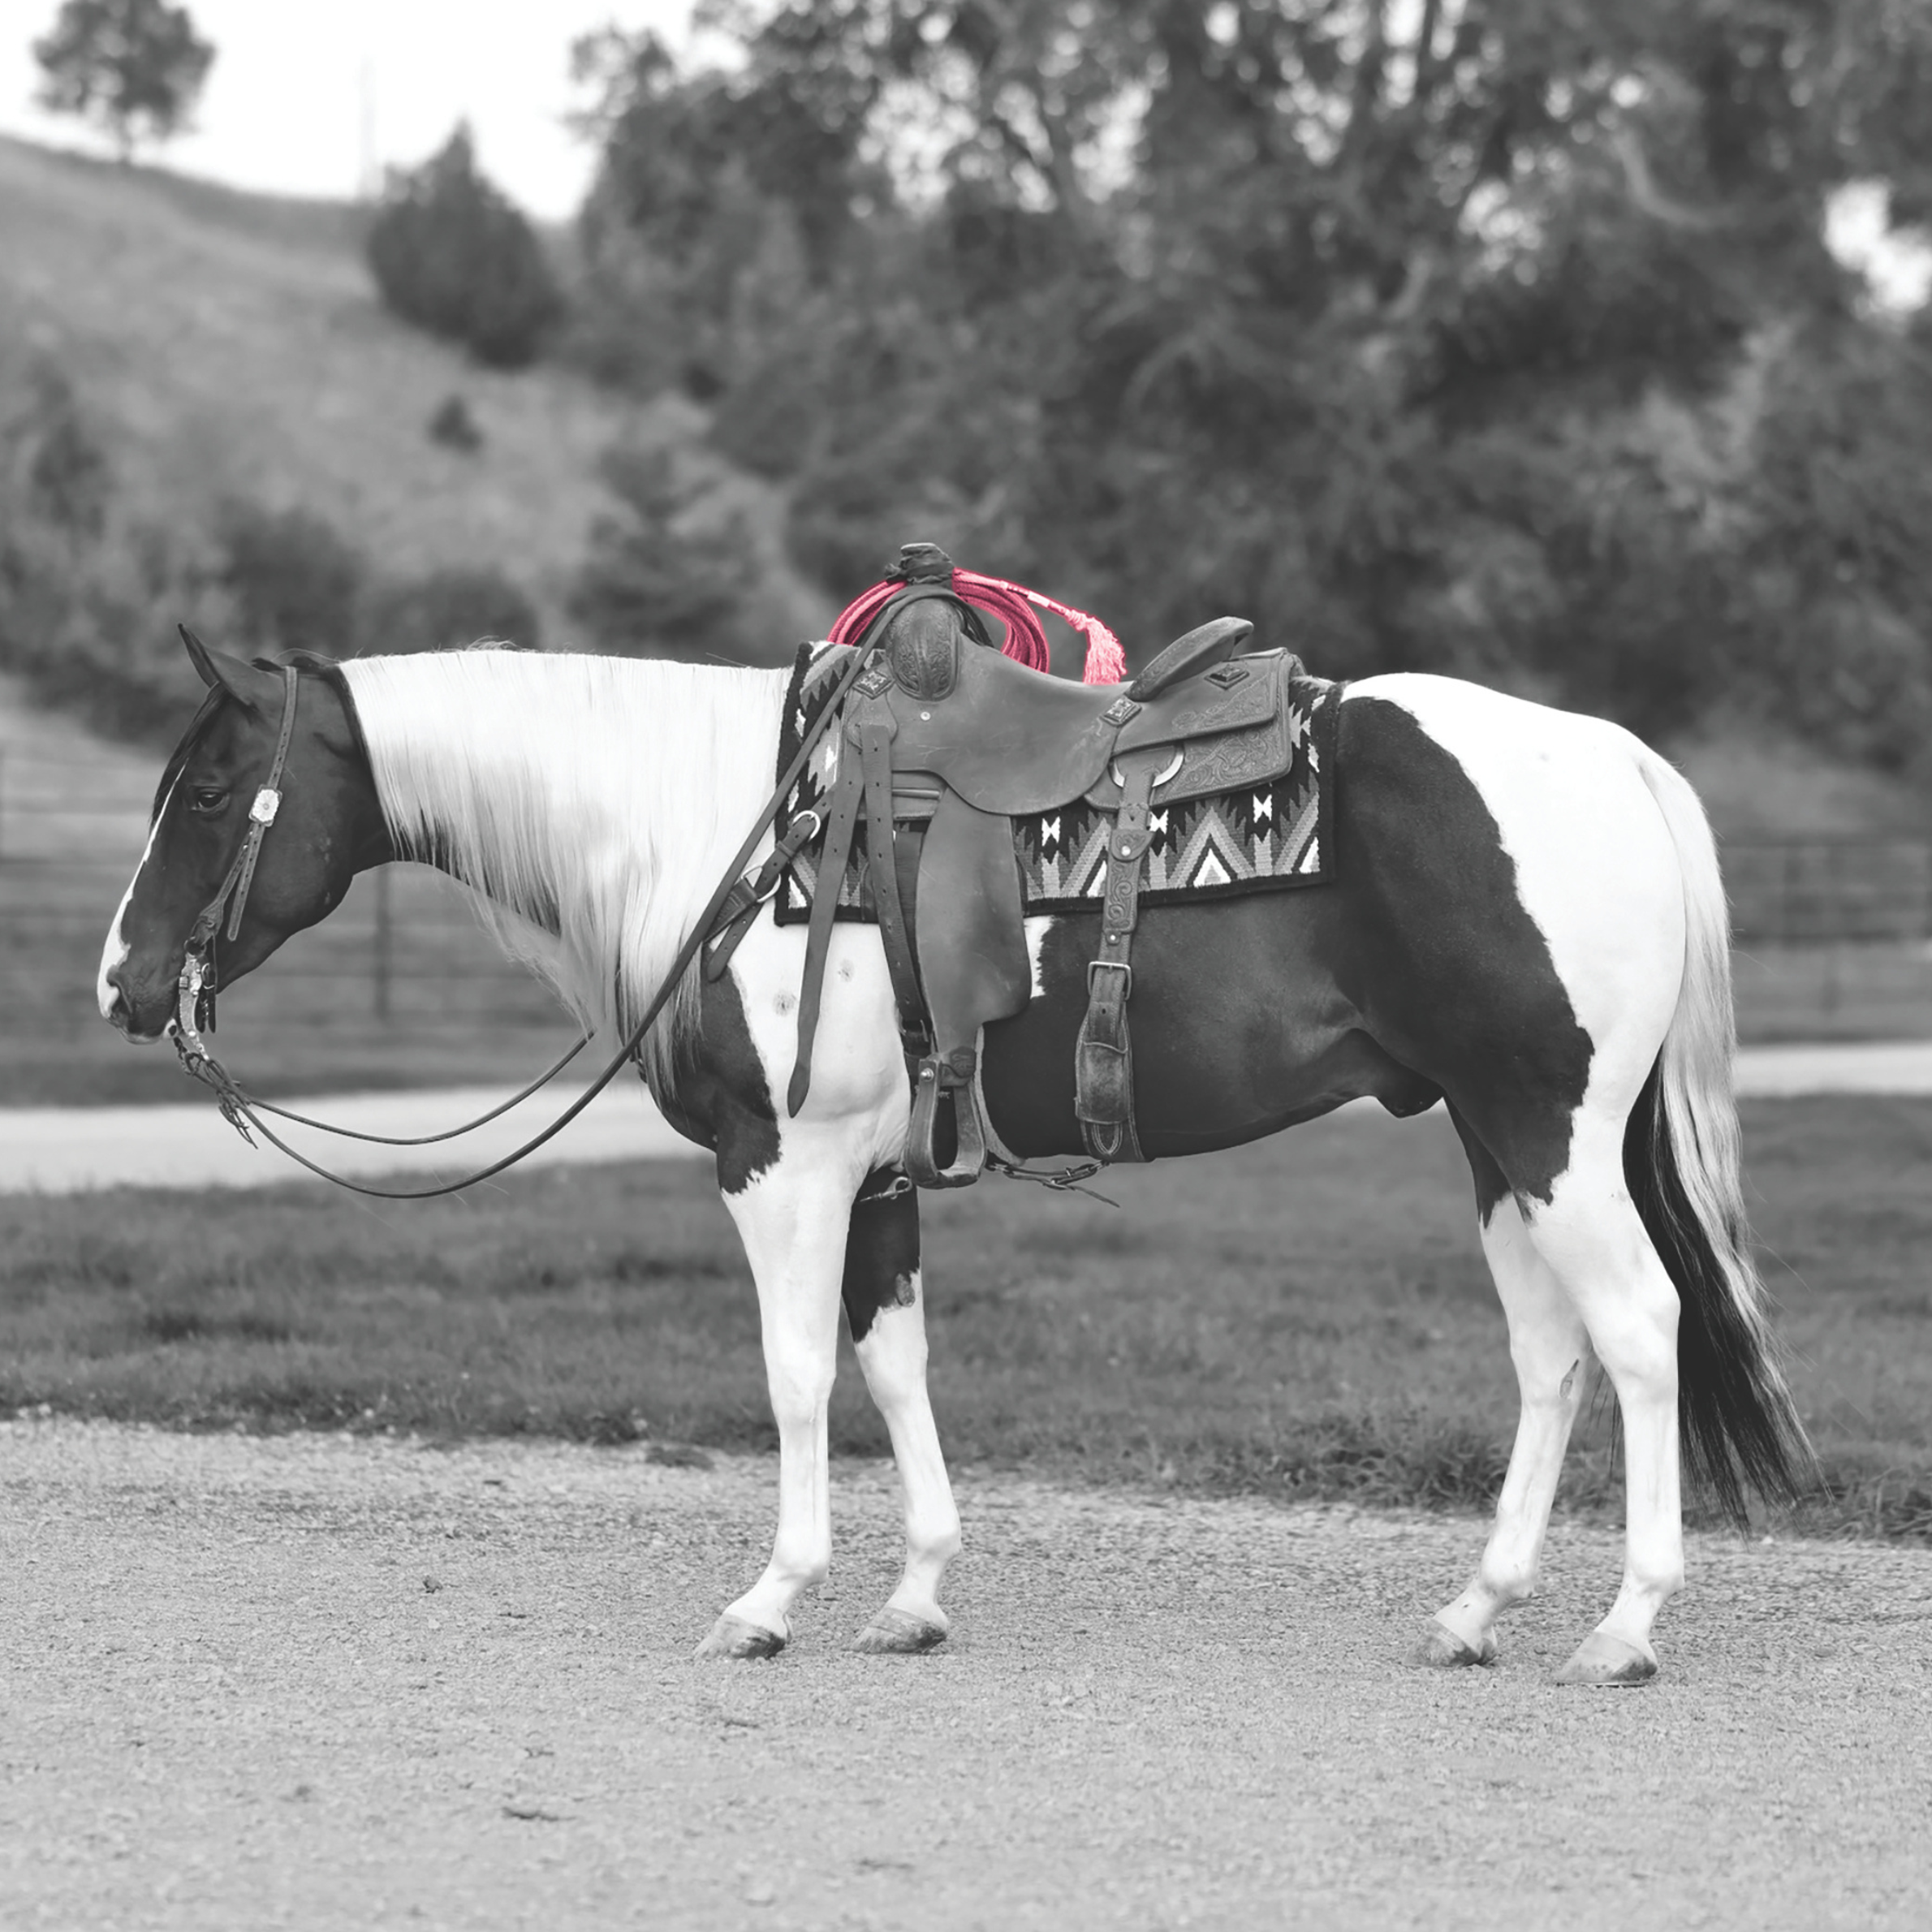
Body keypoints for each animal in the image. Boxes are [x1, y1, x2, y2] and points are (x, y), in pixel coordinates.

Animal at [97, 621, 1812, 1683]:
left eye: (207, 788)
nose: (120, 984)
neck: (730, 836)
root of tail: (1618, 761)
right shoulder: (874, 1178)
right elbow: (893, 1363)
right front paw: (915, 1594)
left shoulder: (782, 1166)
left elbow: (797, 1374)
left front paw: (772, 1600)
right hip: (1496, 1136)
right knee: (1551, 1357)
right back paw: (1476, 1612)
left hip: (1549, 1126)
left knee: (1641, 1334)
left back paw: (1625, 1628)